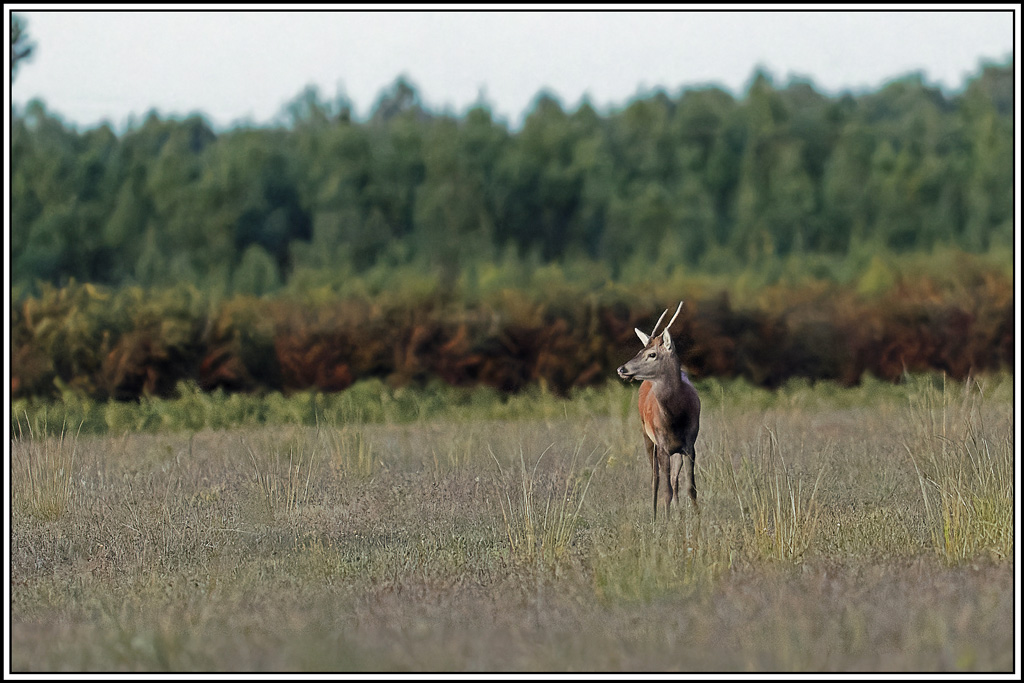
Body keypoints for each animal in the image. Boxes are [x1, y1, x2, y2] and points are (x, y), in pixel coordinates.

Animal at [616, 301, 701, 521]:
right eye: (640, 350)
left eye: (652, 354)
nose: (621, 369)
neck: (675, 419)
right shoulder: (662, 445)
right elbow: (666, 491)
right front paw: (666, 521)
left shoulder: (690, 444)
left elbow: (690, 488)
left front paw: (697, 519)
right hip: (646, 435)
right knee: (655, 479)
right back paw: (655, 516)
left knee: (674, 480)